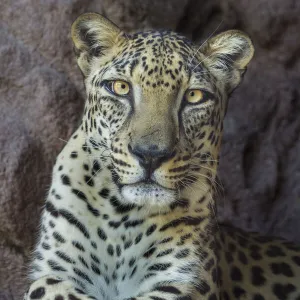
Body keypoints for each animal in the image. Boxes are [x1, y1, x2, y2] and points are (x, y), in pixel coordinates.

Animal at [24, 12, 300, 300]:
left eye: (194, 96)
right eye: (120, 87)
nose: (150, 155)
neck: (120, 218)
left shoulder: (184, 282)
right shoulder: (54, 272)